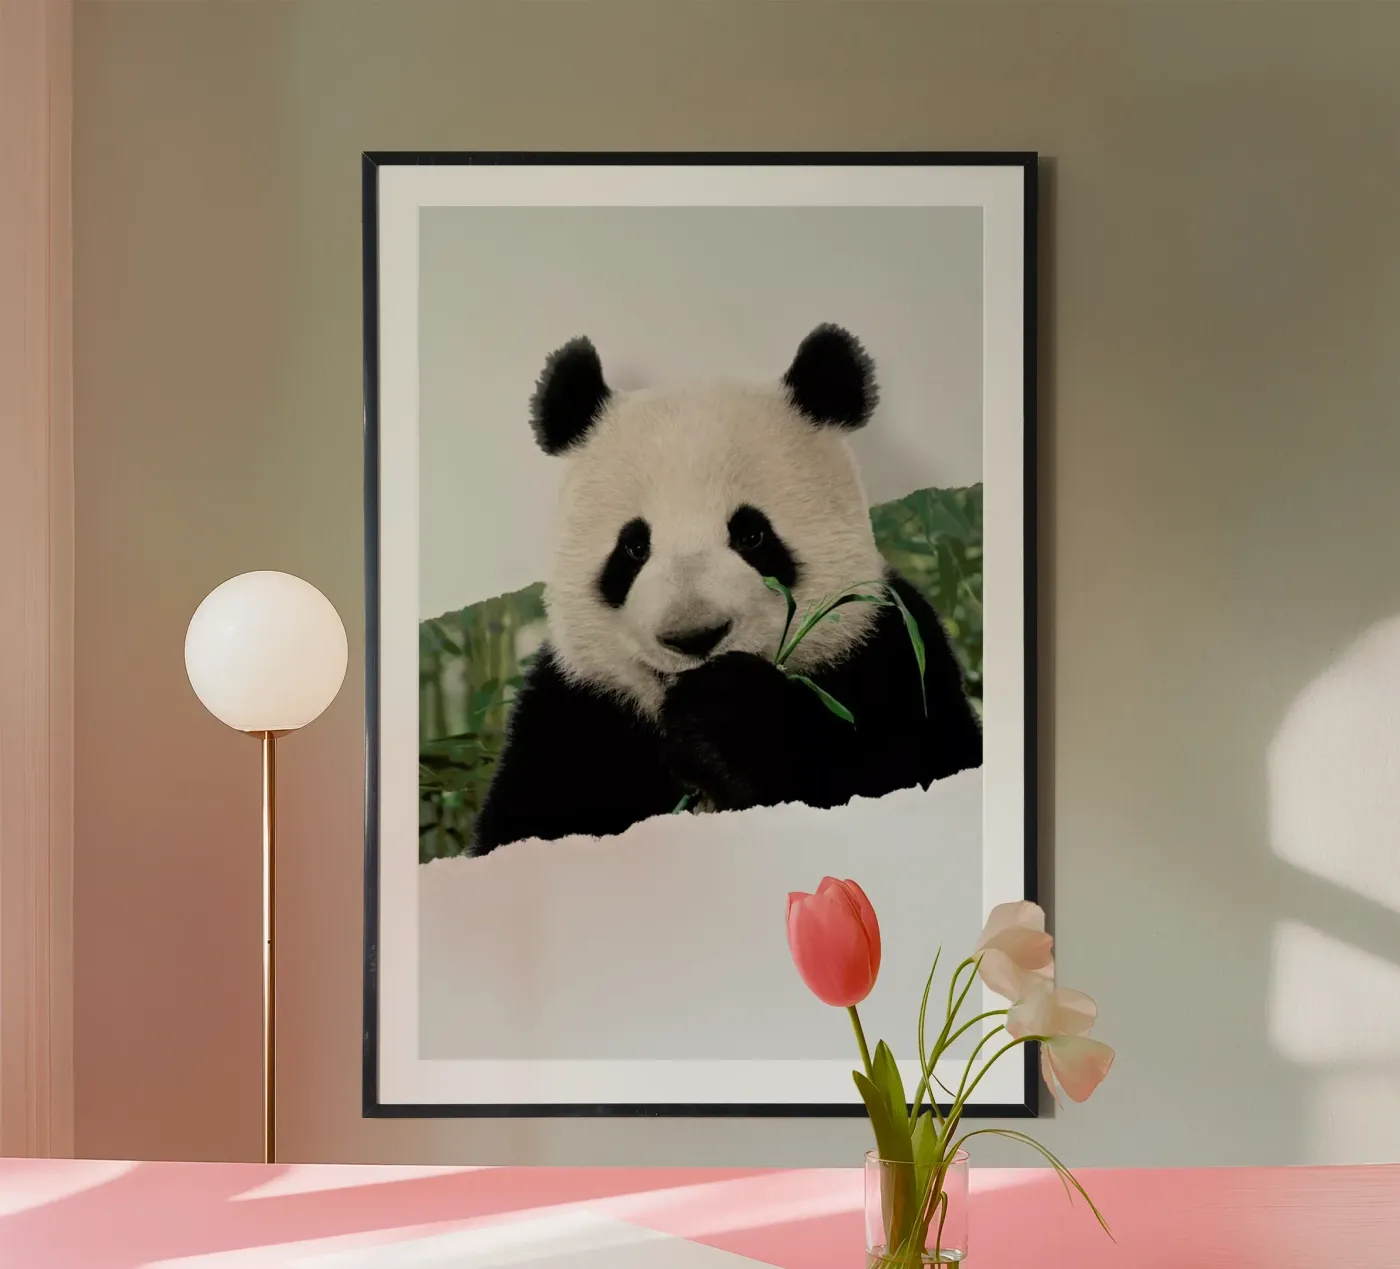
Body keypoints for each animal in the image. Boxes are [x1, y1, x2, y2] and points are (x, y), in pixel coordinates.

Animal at [471, 324, 982, 855]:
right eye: (633, 547)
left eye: (751, 535)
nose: (694, 636)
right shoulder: (574, 713)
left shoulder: (888, 651)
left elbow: (910, 764)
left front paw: (729, 716)